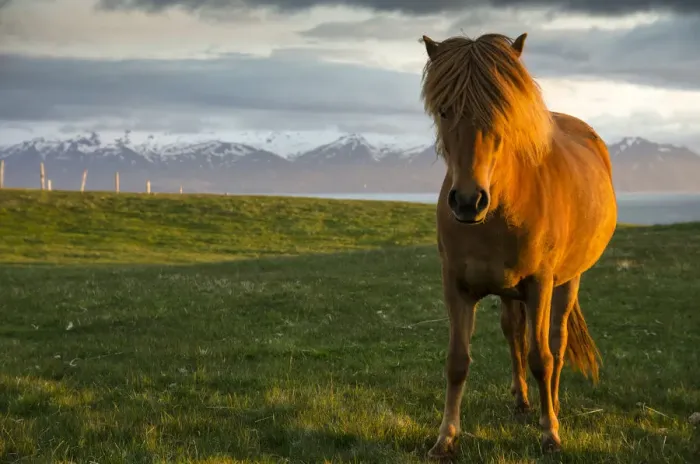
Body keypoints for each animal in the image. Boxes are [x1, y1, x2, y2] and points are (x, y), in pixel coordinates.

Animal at [418, 32, 618, 458]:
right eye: (444, 109)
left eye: (502, 108)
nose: (467, 201)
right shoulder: (456, 285)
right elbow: (457, 361)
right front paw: (445, 437)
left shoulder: (540, 283)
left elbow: (542, 357)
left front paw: (550, 433)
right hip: (509, 291)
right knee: (514, 333)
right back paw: (523, 399)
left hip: (566, 282)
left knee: (555, 343)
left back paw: (551, 405)